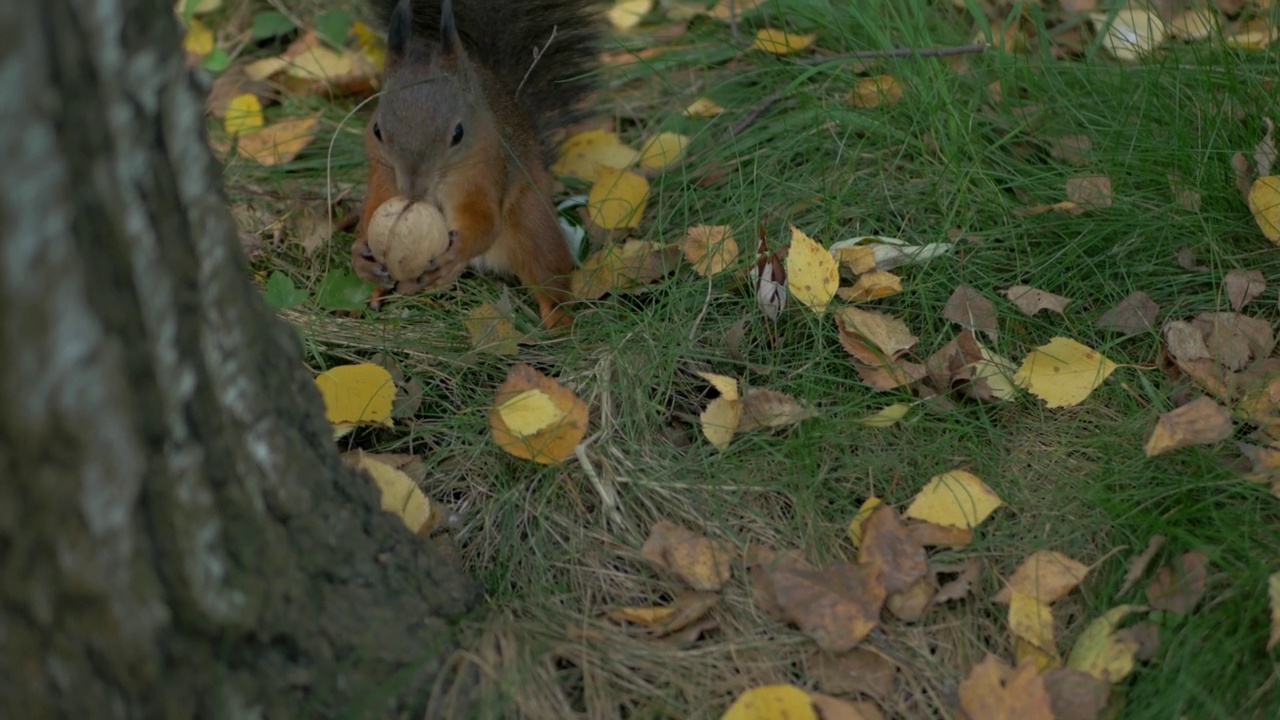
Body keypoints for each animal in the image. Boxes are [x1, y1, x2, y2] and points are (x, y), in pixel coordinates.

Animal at [350, 0, 599, 327]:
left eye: (458, 133)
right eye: (377, 130)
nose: (413, 191)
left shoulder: (485, 169)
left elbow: (483, 218)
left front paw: (456, 252)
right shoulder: (382, 169)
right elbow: (375, 205)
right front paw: (361, 254)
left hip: (532, 221)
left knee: (548, 273)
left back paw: (558, 320)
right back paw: (375, 293)